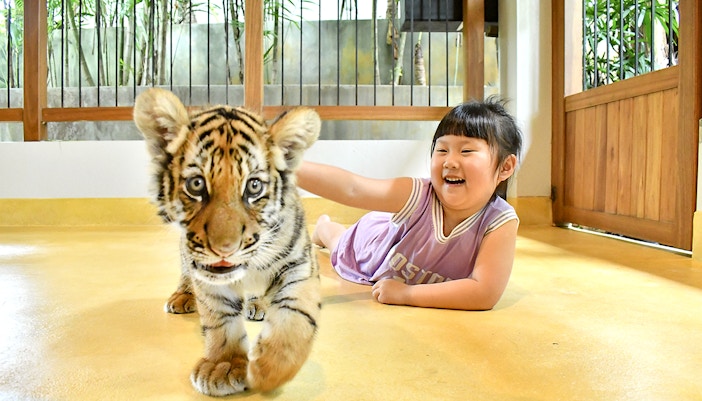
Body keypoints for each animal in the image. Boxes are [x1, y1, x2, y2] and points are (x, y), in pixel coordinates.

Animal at [133, 88, 321, 396]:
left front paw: (268, 370)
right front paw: (224, 365)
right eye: (196, 184)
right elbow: (219, 317)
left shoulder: (300, 262)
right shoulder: (205, 271)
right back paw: (182, 297)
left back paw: (258, 305)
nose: (225, 249)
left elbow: (295, 315)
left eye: (254, 187)